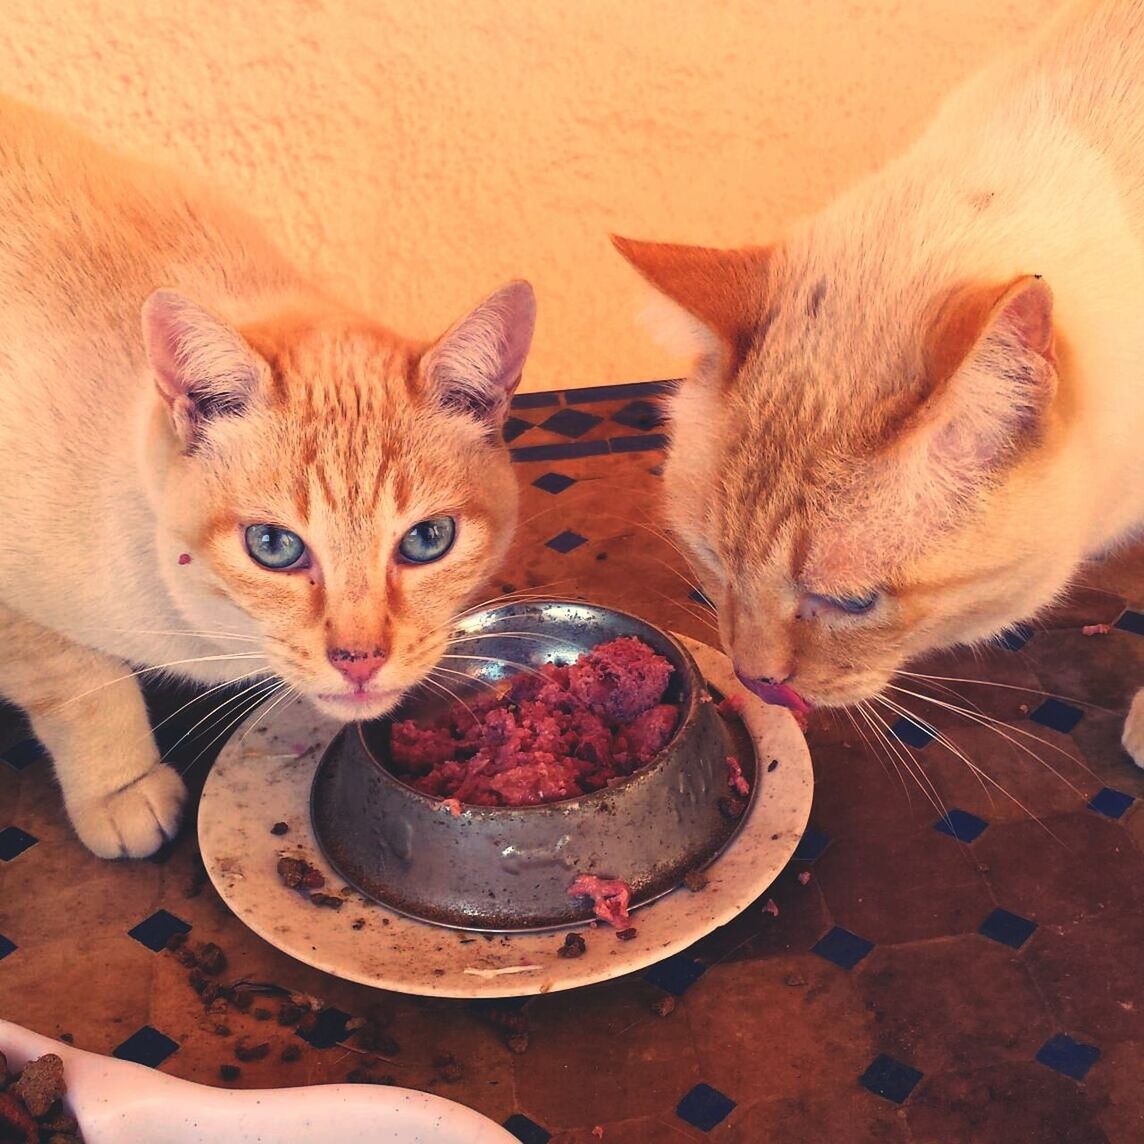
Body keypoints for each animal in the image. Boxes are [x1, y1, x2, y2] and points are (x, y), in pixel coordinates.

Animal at [0, 98, 535, 855]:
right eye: (274, 548)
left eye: (428, 540)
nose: (360, 659)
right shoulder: (23, 618)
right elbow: (83, 688)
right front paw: (122, 792)